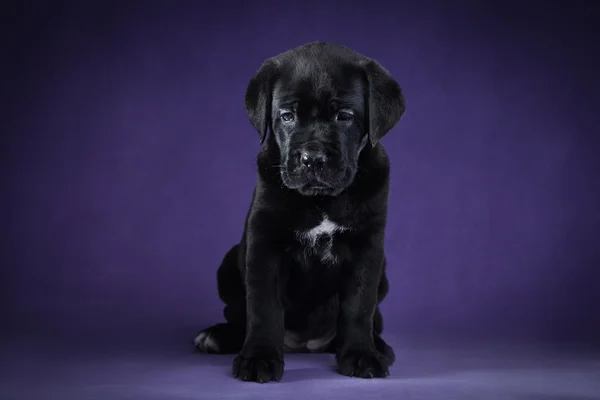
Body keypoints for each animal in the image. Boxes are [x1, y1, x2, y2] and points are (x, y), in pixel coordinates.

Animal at [195, 42, 406, 382]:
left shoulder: (367, 246)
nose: (312, 158)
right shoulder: (264, 240)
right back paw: (217, 336)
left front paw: (361, 354)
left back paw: (378, 347)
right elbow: (263, 306)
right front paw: (259, 357)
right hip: (228, 263)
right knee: (239, 315)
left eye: (345, 116)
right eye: (287, 116)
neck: (320, 200)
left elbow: (359, 305)